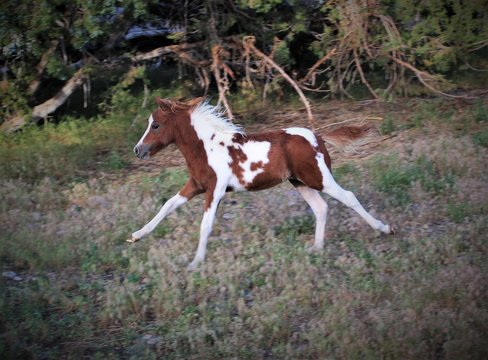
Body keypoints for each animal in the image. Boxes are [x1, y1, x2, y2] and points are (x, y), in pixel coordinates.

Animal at [129, 98, 392, 270]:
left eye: (155, 125)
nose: (138, 150)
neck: (206, 148)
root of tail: (318, 137)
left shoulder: (215, 190)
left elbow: (205, 225)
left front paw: (196, 262)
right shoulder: (195, 185)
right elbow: (167, 205)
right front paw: (136, 235)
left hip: (318, 178)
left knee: (348, 197)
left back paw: (385, 228)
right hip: (300, 182)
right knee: (321, 208)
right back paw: (316, 248)